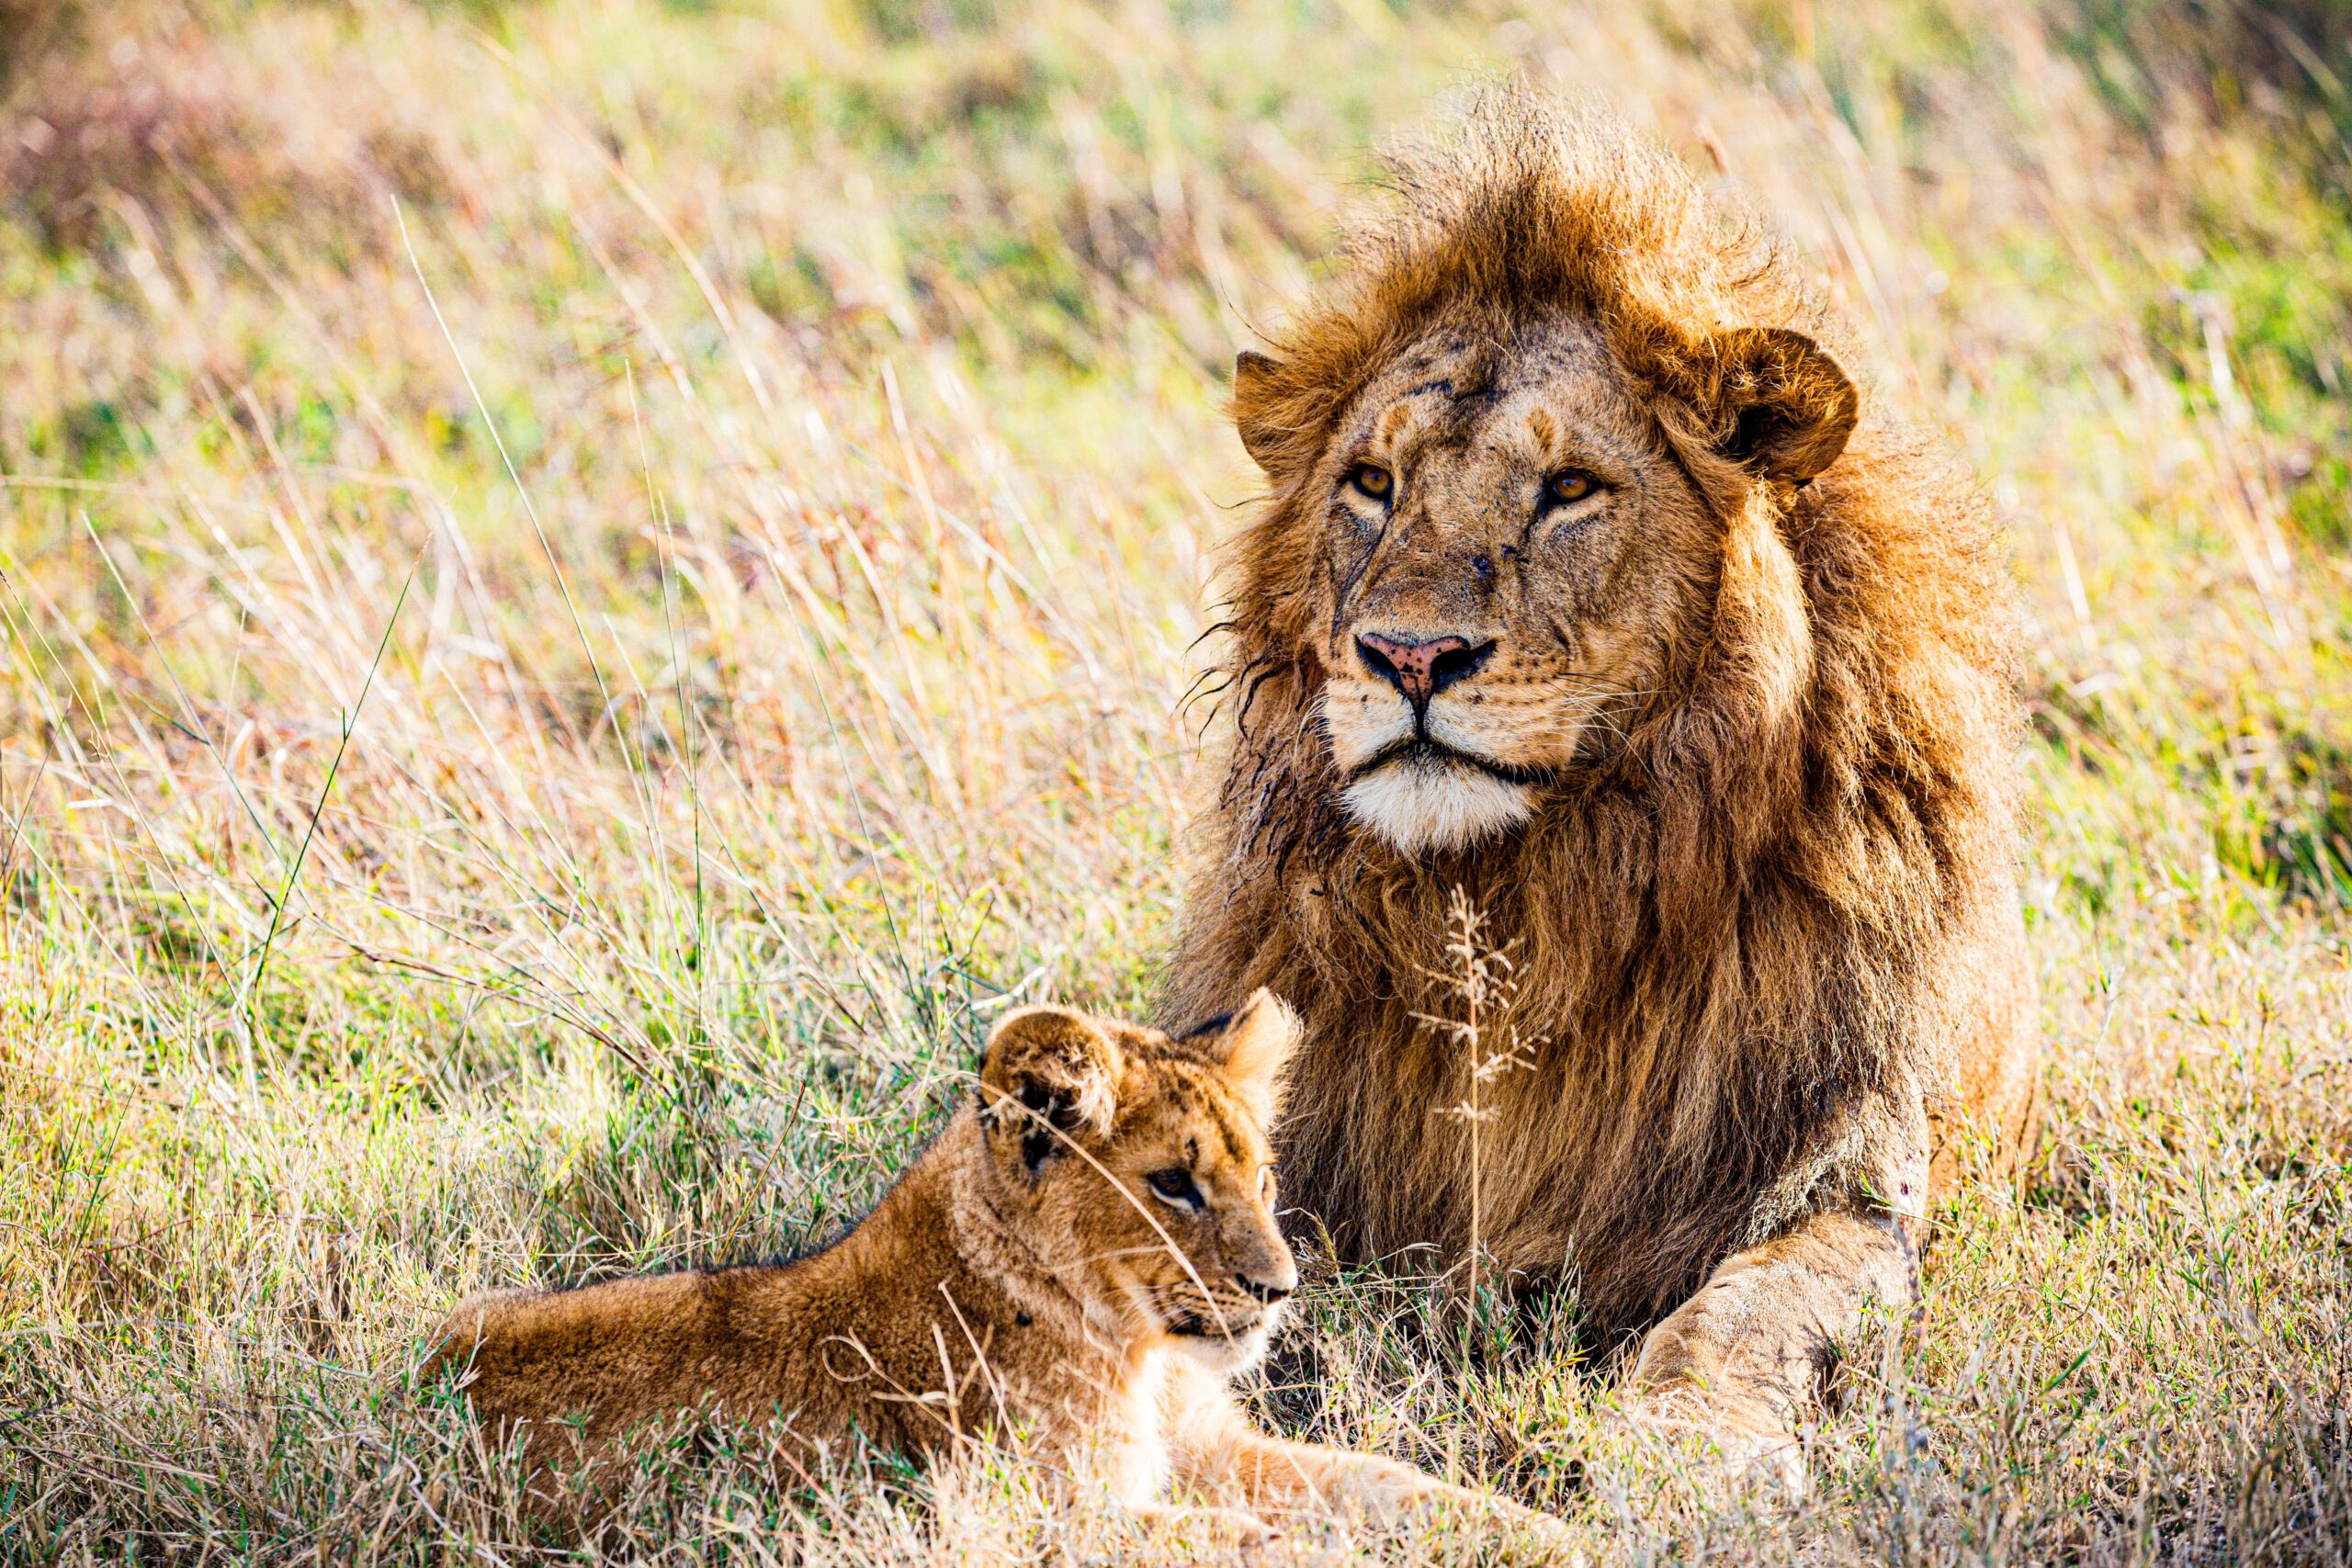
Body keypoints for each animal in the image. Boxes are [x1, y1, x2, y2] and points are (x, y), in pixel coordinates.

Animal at [1161, 95, 2041, 1476]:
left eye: (1569, 489)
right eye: (1373, 483)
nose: (1408, 656)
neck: (1523, 898)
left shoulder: (1844, 1161)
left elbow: (1753, 1309)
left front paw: (1685, 1450)